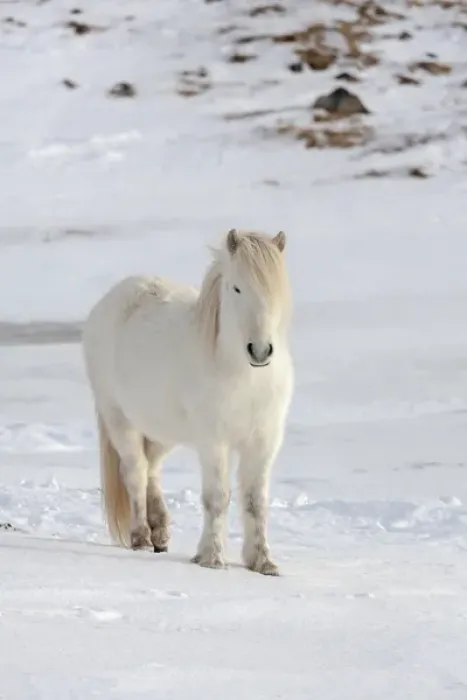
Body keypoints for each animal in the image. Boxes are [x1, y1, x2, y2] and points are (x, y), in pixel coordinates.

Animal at [82, 228, 294, 576]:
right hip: (119, 419)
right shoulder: (213, 442)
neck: (244, 378)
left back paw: (161, 533)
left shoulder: (263, 442)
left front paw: (263, 562)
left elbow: (255, 502)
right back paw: (142, 538)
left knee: (151, 467)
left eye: (275, 289)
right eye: (236, 287)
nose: (260, 351)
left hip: (162, 430)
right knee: (136, 471)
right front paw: (212, 558)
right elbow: (217, 498)